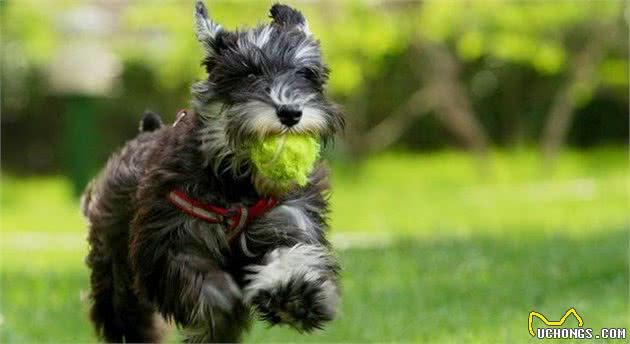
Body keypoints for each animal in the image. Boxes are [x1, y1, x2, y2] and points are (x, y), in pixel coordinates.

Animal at [82, 2, 346, 342]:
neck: (237, 182)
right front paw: (220, 298)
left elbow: (292, 255)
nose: (290, 112)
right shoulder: (171, 240)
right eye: (249, 73)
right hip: (115, 269)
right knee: (124, 314)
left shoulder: (289, 219)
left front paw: (295, 295)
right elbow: (201, 280)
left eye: (305, 73)